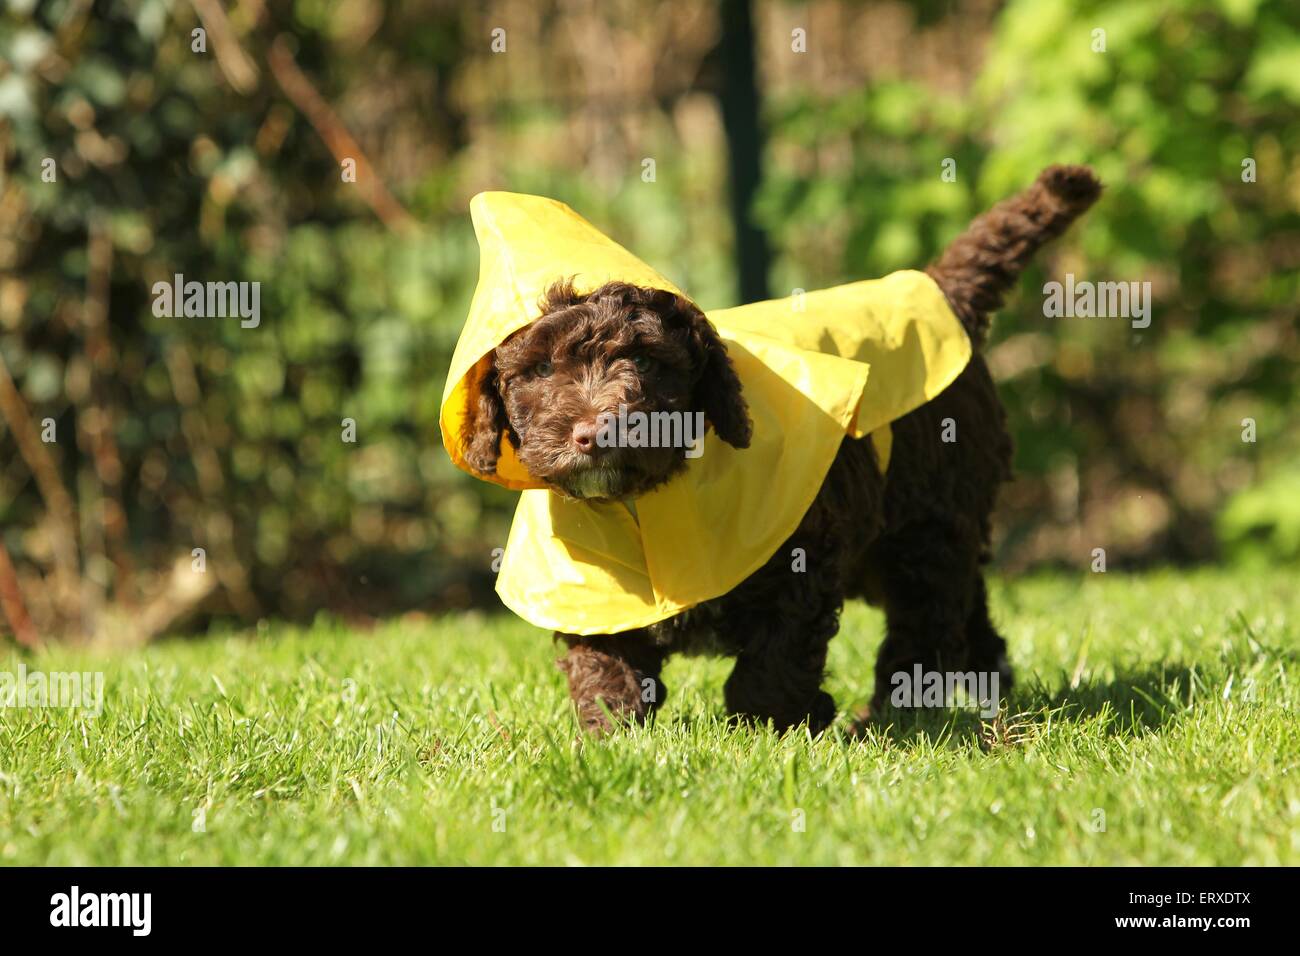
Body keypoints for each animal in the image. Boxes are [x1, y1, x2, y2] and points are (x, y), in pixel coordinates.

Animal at [462, 166, 1102, 733]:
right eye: (540, 370)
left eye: (644, 360)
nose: (595, 432)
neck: (648, 496)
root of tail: (935, 289)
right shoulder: (593, 591)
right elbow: (604, 659)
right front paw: (609, 735)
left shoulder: (805, 551)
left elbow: (777, 657)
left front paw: (772, 728)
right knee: (963, 604)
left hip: (928, 517)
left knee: (925, 621)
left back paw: (891, 715)